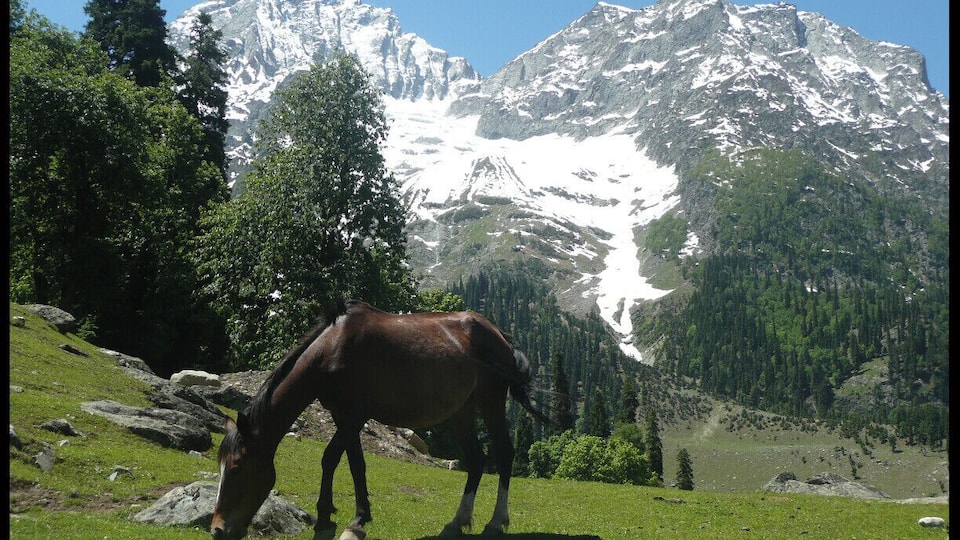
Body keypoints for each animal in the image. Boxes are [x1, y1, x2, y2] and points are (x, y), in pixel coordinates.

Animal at [210, 299, 553, 540]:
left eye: (237, 468)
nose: (217, 529)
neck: (332, 349)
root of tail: (500, 335)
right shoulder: (341, 414)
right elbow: (356, 463)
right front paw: (359, 518)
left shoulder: (357, 413)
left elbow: (330, 458)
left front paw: (325, 520)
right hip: (462, 410)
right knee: (477, 460)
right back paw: (456, 523)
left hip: (490, 401)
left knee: (504, 454)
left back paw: (495, 523)